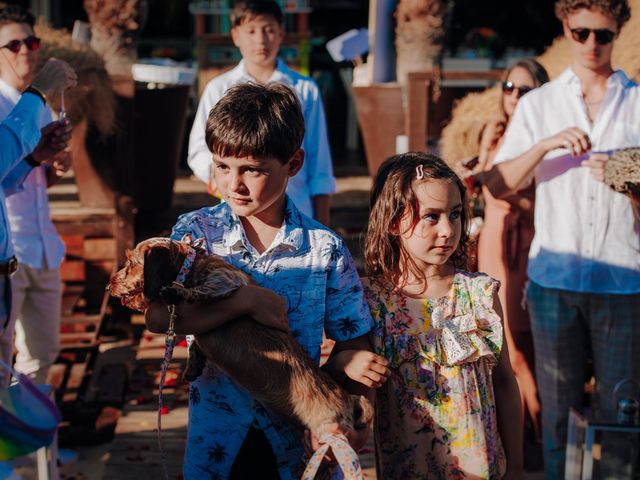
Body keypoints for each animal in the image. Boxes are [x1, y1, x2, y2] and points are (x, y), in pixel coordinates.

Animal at [107, 236, 372, 438]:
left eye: (131, 263)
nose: (109, 286)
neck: (190, 267)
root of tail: (350, 401)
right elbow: (196, 346)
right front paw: (193, 366)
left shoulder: (224, 281)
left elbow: (199, 292)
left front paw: (176, 292)